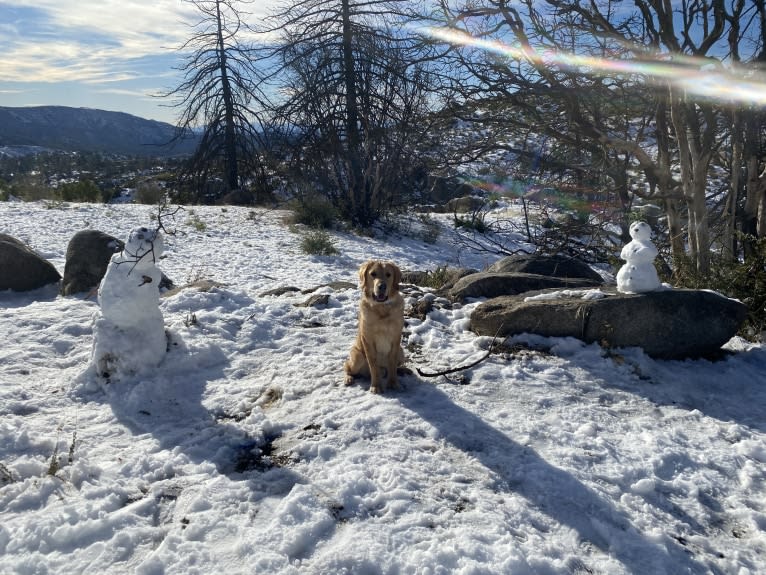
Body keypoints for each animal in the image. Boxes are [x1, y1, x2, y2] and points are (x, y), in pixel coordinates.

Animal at [344, 260, 408, 392]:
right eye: (373, 274)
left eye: (388, 274)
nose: (382, 286)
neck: (381, 307)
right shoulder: (368, 340)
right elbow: (373, 366)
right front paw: (376, 386)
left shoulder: (395, 339)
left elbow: (392, 364)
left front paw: (393, 383)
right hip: (357, 357)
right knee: (346, 366)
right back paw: (348, 378)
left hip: (401, 352)